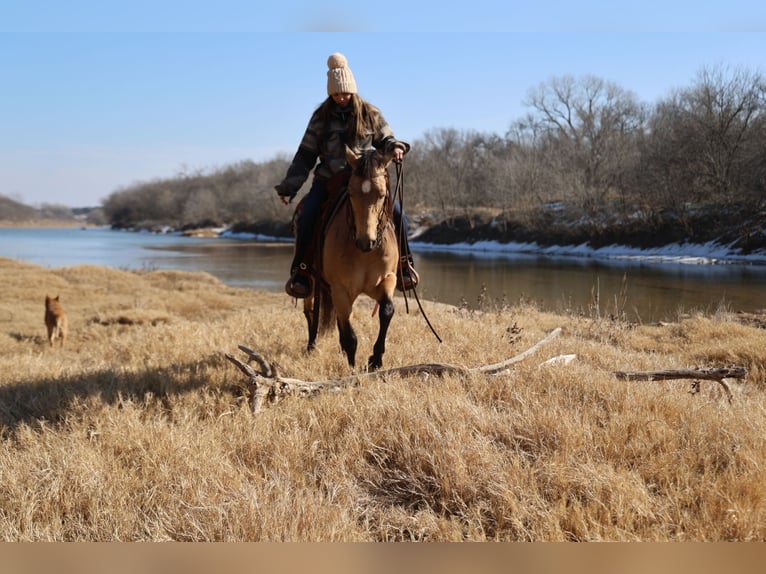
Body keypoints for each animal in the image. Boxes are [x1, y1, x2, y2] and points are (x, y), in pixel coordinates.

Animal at [302, 146, 400, 371]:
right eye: (352, 193)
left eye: (382, 194)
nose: (366, 241)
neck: (364, 253)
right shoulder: (340, 288)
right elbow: (350, 335)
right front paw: (352, 369)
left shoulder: (386, 279)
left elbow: (386, 310)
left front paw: (376, 359)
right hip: (312, 283)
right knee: (311, 311)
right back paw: (311, 347)